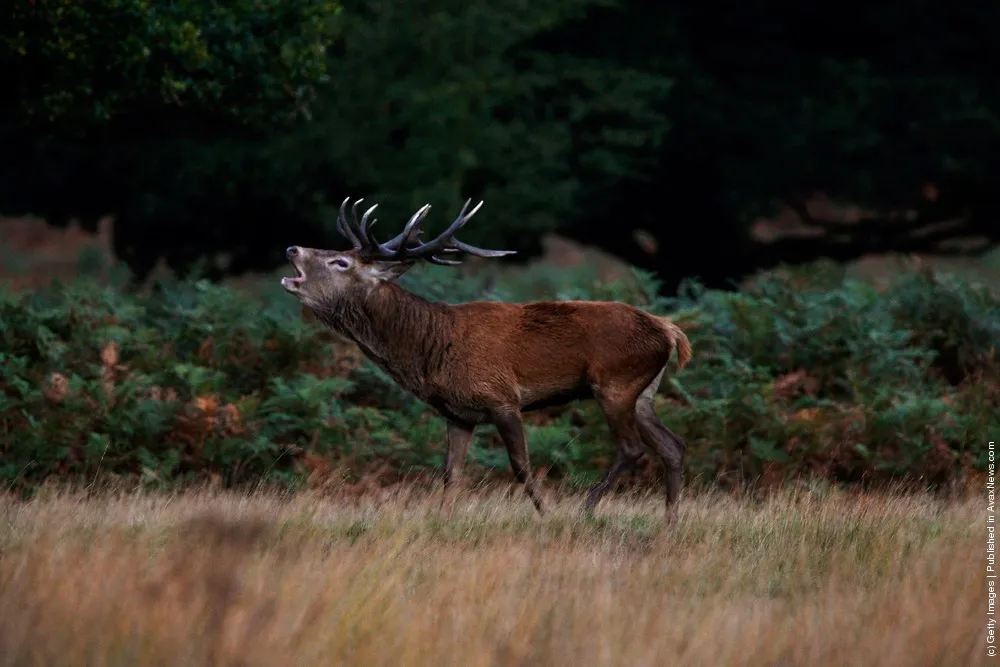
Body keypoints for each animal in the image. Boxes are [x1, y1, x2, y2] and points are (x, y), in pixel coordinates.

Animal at [281, 197, 692, 519]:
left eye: (341, 262)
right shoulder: (458, 415)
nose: (292, 249)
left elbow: (522, 467)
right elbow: (451, 473)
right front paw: (442, 520)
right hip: (643, 393)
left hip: (614, 383)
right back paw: (670, 521)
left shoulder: (501, 397)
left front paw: (547, 514)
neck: (429, 352)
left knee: (632, 448)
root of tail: (670, 330)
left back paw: (588, 507)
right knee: (673, 446)